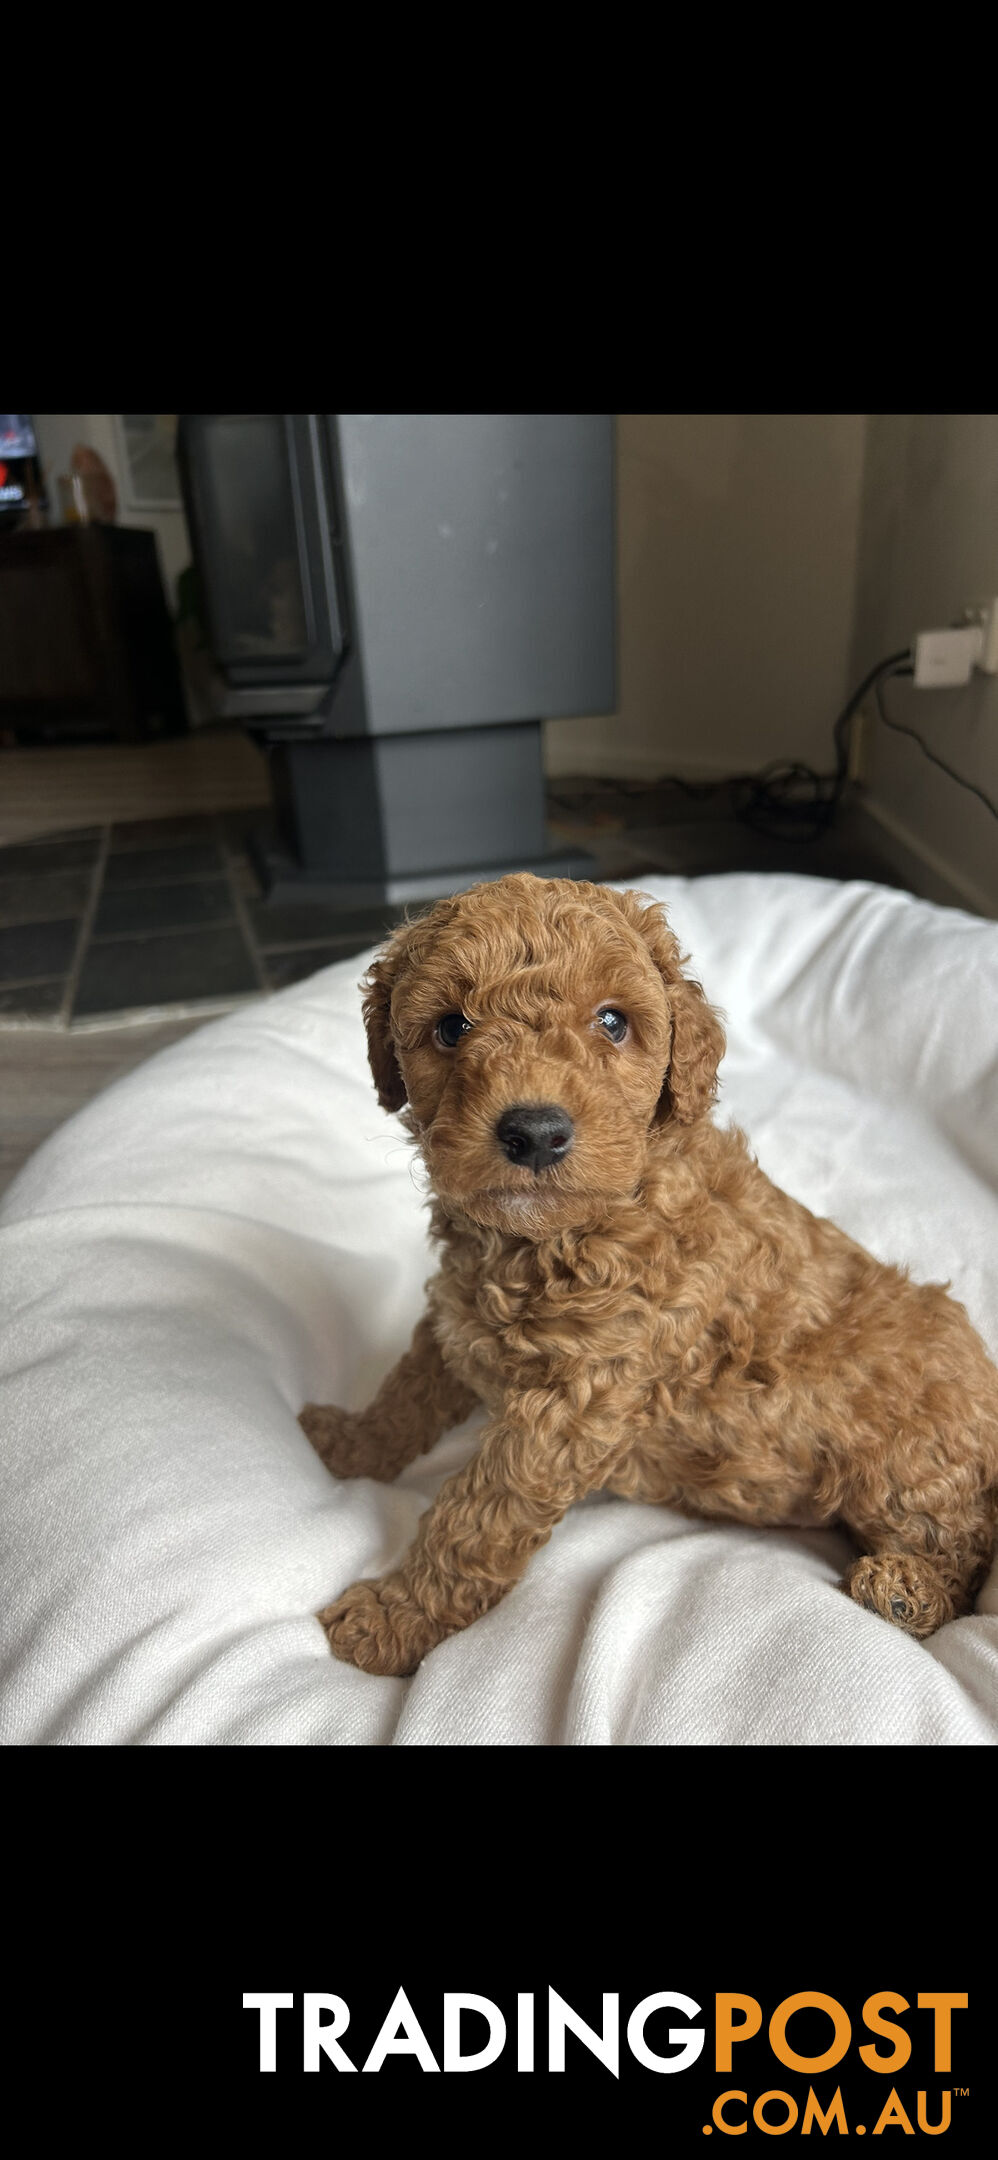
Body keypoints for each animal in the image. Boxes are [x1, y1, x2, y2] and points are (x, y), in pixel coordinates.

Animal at [302, 868, 998, 1676]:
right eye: (450, 1027)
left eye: (612, 1022)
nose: (534, 1131)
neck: (549, 1240)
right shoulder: (456, 1318)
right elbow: (407, 1391)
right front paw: (352, 1442)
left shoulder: (570, 1407)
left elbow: (473, 1520)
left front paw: (392, 1618)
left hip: (910, 1462)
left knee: (965, 1549)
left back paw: (905, 1592)